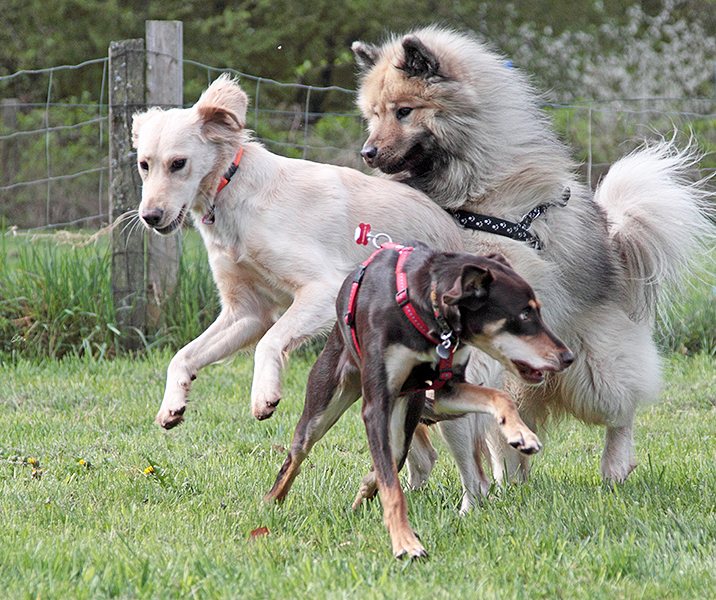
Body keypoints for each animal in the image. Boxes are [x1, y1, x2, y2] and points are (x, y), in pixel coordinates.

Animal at [266, 241, 572, 560]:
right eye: (524, 314)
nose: (568, 357)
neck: (427, 311)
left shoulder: (448, 392)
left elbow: (499, 396)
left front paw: (520, 433)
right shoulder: (376, 407)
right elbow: (392, 489)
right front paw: (404, 542)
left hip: (404, 425)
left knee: (392, 458)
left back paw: (362, 495)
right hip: (322, 408)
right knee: (295, 458)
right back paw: (270, 504)